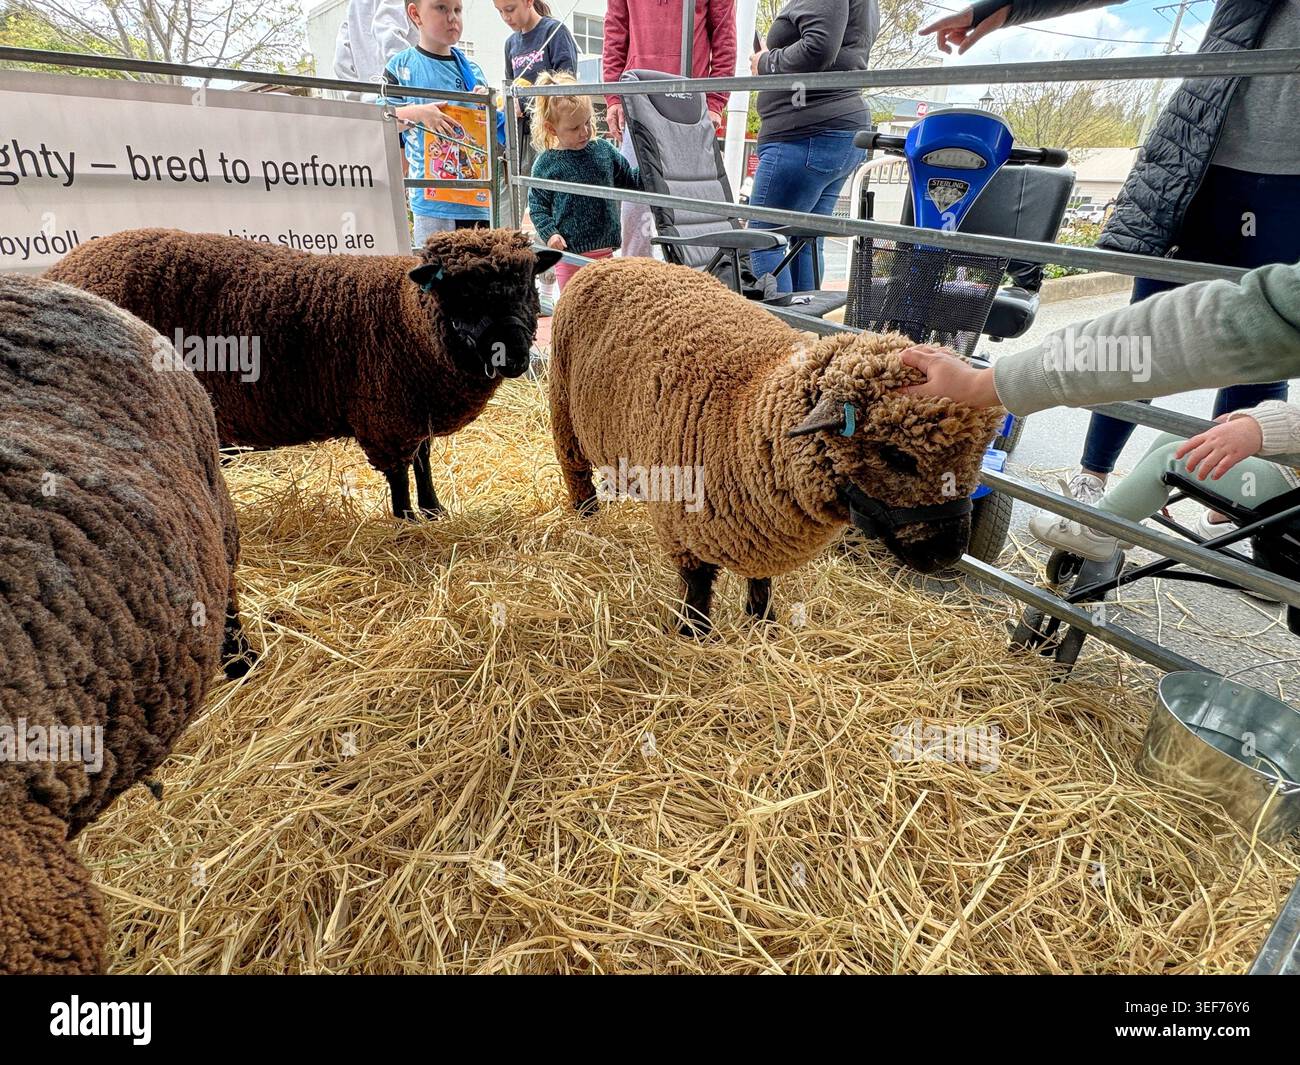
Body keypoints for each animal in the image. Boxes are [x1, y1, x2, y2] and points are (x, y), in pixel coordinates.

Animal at [46, 228, 562, 520]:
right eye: (465, 294)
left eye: (526, 285)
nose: (517, 357)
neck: (407, 313)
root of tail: (63, 268)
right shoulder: (386, 414)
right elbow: (400, 475)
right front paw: (407, 521)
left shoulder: (413, 412)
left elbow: (423, 461)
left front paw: (434, 510)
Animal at [549, 258, 1004, 635]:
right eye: (896, 455)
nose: (948, 555)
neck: (747, 411)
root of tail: (611, 260)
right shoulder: (682, 527)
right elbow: (697, 590)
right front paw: (694, 635)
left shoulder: (758, 531)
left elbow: (760, 581)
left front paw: (764, 625)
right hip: (564, 410)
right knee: (576, 470)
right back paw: (588, 516)